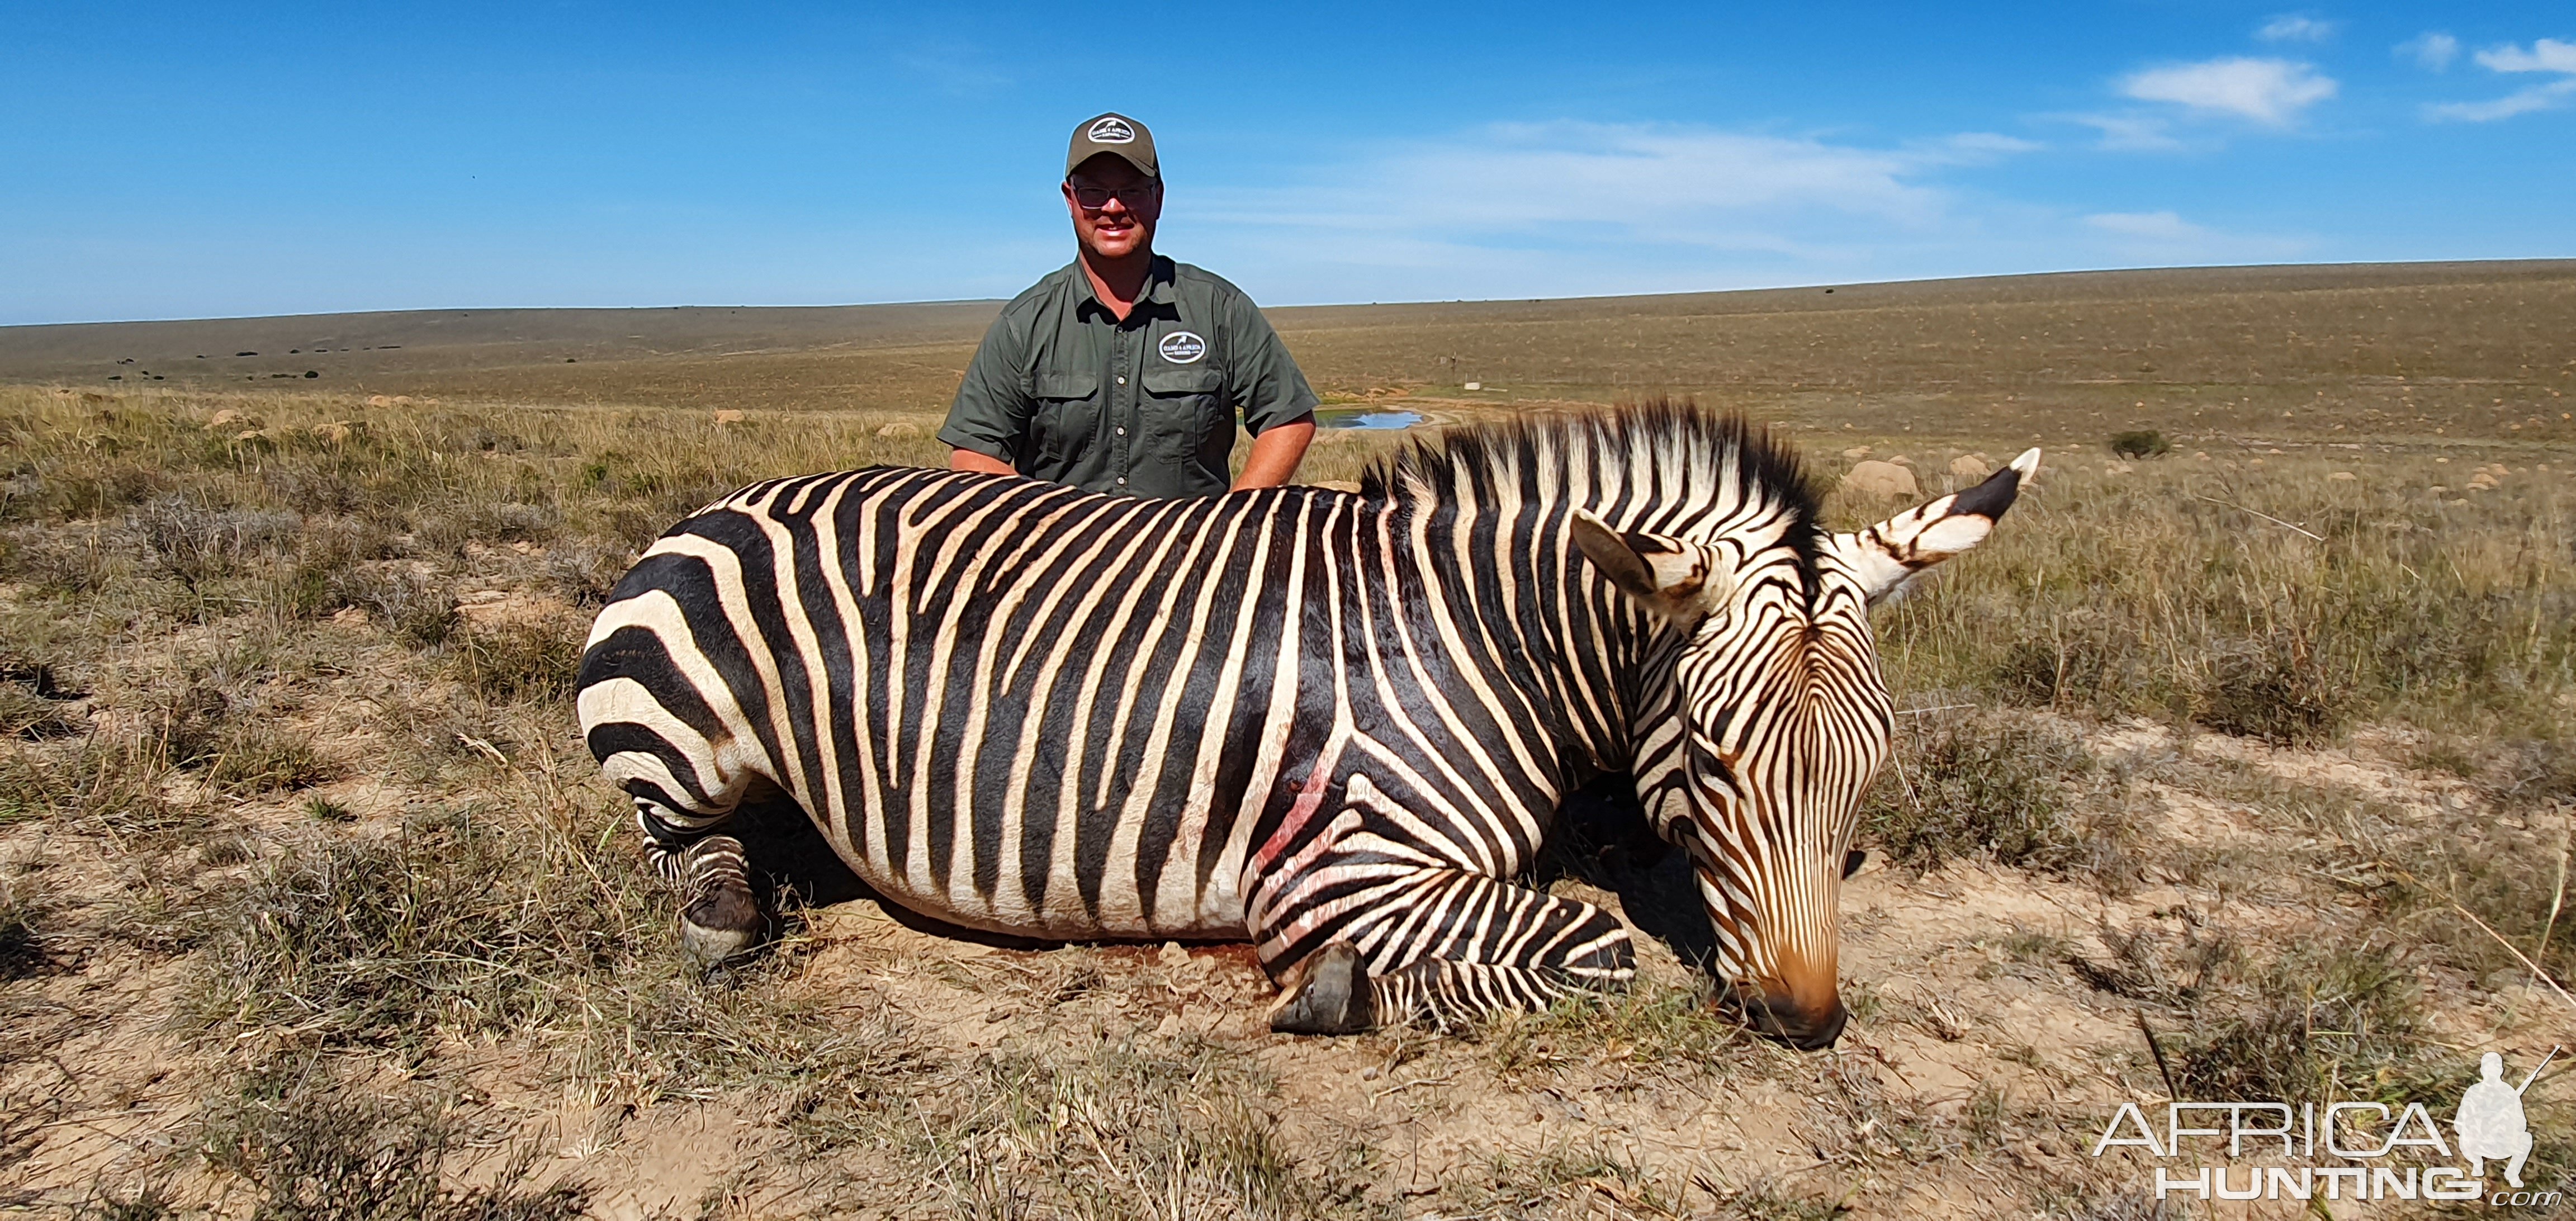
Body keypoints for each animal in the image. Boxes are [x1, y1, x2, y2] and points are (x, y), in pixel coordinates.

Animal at [579, 401, 2030, 1050]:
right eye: (1721, 760)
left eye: (1869, 775)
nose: (1807, 1021)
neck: (1485, 637)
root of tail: (720, 501)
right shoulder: (1337, 869)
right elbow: (1595, 947)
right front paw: (1343, 992)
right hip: (686, 745)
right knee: (678, 845)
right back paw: (724, 913)